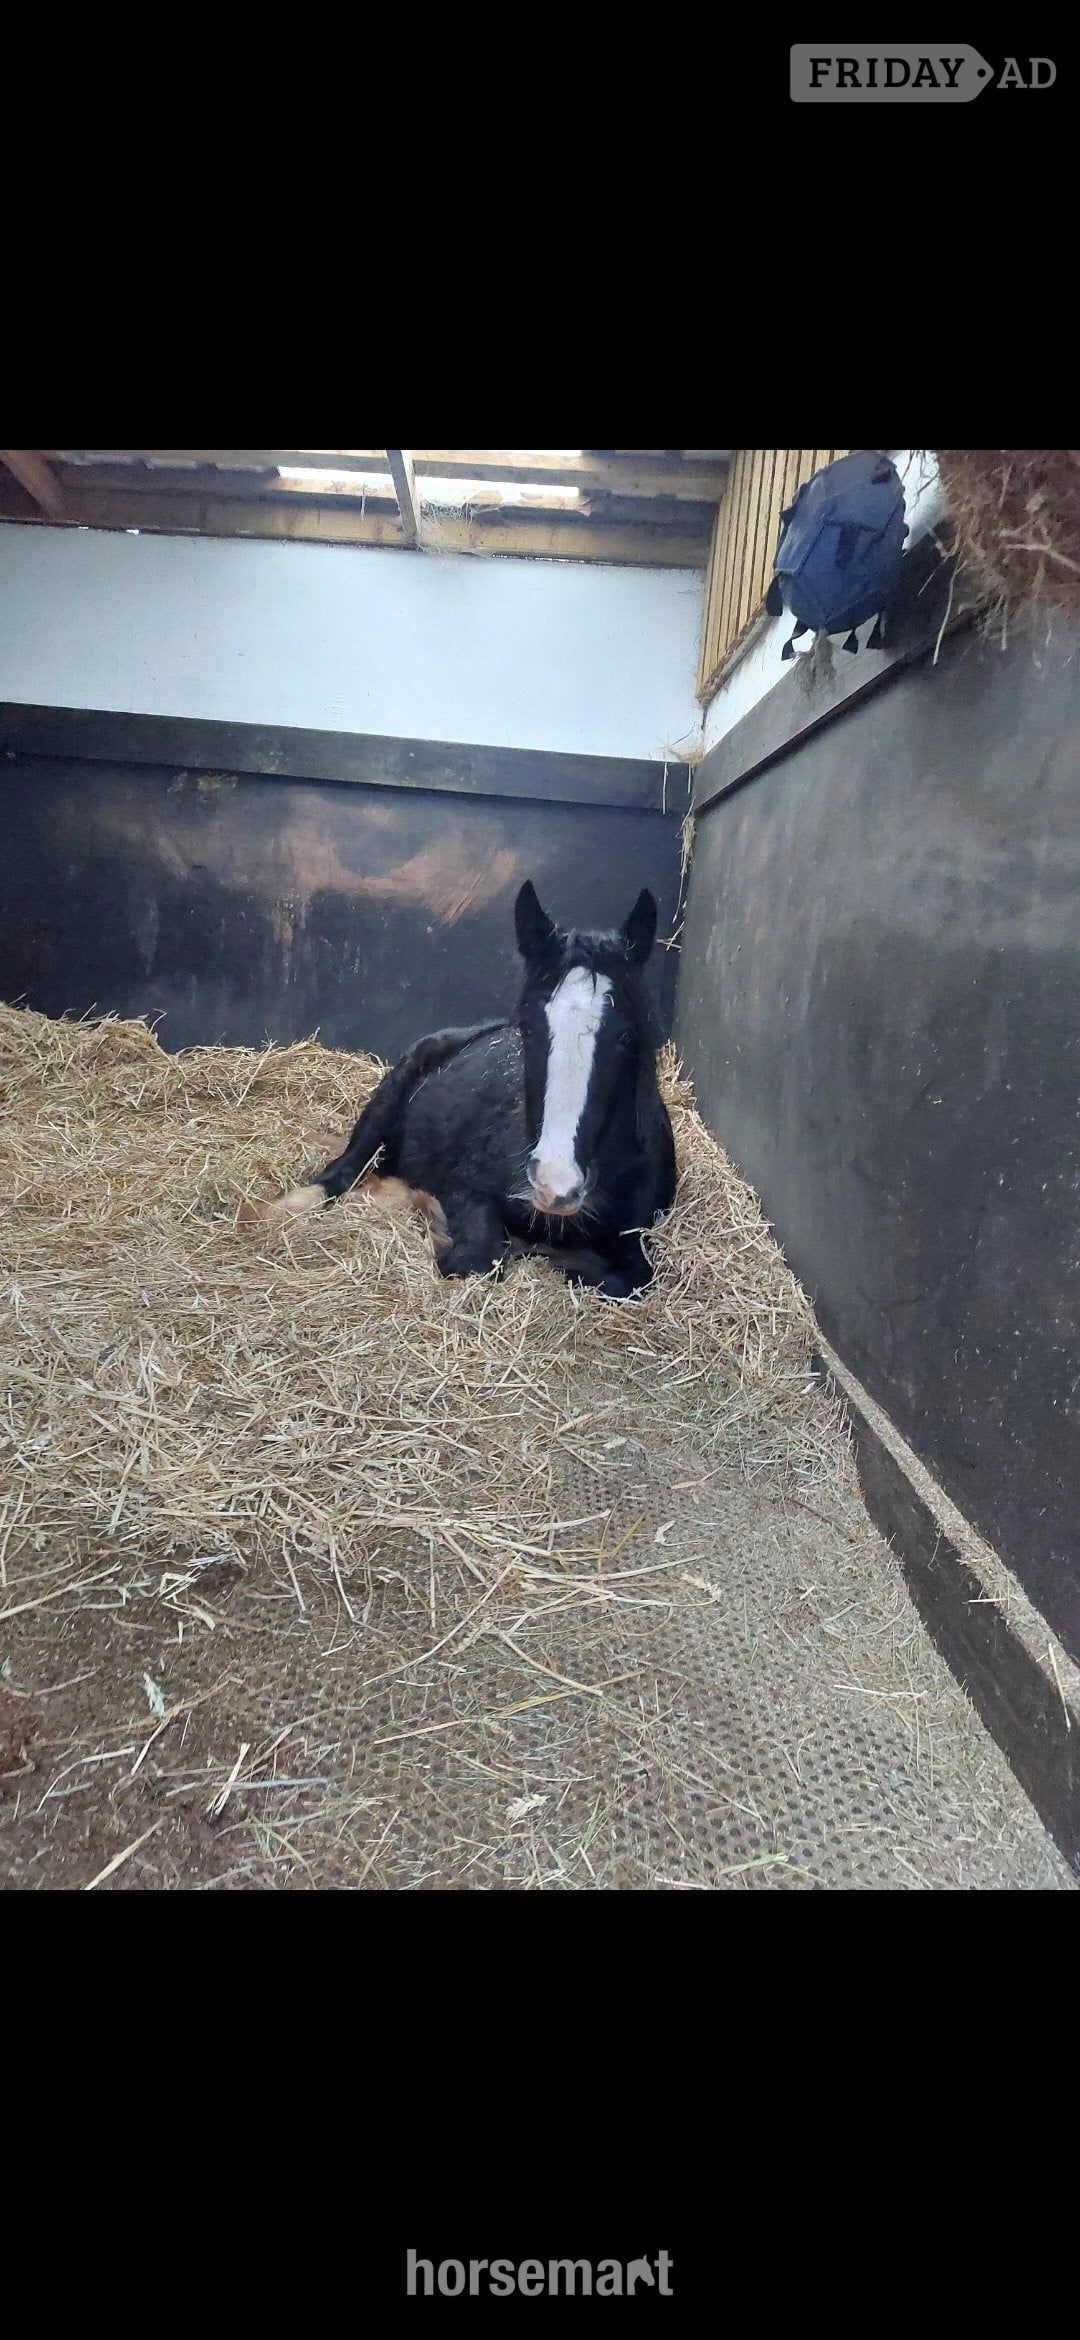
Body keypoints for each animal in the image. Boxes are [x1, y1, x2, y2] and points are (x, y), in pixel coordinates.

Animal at [239, 880, 677, 1298]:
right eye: (528, 1028)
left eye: (625, 1035)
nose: (556, 1185)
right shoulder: (467, 1192)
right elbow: (476, 1260)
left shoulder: (634, 1237)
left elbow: (627, 1279)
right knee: (341, 1173)